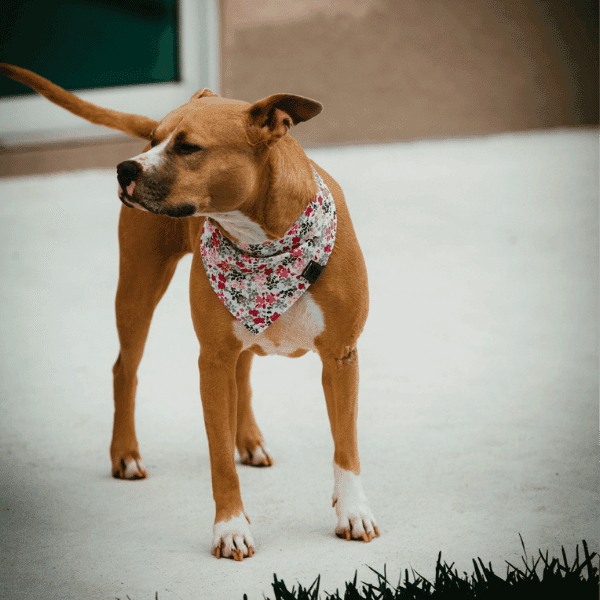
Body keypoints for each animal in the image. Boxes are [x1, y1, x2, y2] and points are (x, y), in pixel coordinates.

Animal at [0, 63, 380, 560]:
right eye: (157, 139)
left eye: (188, 147)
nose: (125, 168)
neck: (263, 241)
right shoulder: (212, 362)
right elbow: (219, 461)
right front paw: (230, 527)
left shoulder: (340, 357)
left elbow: (345, 446)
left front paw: (352, 511)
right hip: (138, 288)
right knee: (125, 369)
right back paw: (126, 454)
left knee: (243, 374)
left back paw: (249, 441)